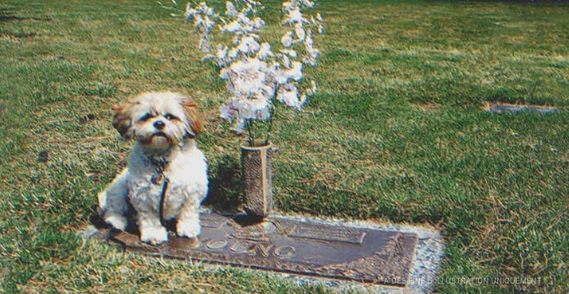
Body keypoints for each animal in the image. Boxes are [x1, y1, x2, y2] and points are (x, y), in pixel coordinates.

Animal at [98, 92, 209, 246]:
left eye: (169, 116)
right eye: (147, 116)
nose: (159, 123)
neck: (163, 161)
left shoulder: (193, 190)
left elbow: (188, 212)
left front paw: (188, 227)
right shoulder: (143, 195)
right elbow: (150, 219)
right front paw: (153, 234)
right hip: (119, 188)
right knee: (113, 209)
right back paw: (117, 221)